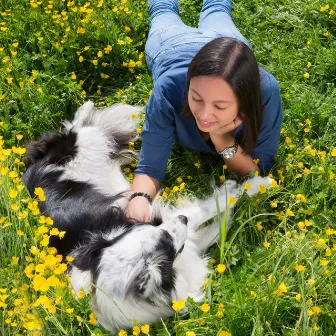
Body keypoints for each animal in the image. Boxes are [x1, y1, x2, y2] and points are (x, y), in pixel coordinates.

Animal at [23, 101, 270, 334]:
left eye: (147, 227)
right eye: (166, 243)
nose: (182, 219)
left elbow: (216, 215)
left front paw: (244, 188)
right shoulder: (184, 240)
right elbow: (215, 210)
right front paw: (257, 184)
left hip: (84, 147)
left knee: (77, 129)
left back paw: (87, 108)